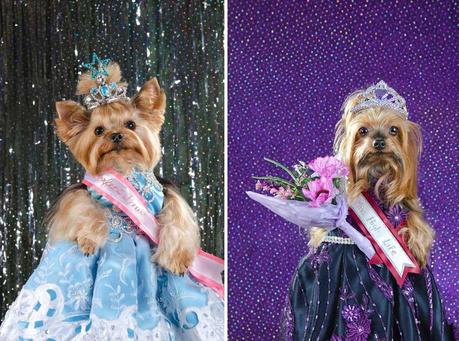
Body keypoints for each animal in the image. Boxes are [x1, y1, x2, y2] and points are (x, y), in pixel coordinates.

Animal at [47, 61, 201, 274]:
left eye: (131, 124)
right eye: (98, 130)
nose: (116, 135)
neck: (123, 168)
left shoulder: (166, 194)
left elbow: (176, 215)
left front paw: (176, 259)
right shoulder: (78, 194)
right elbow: (83, 205)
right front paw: (88, 239)